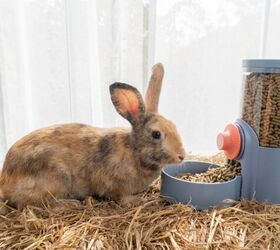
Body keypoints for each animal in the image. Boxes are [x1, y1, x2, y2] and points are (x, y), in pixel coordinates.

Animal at [0, 63, 185, 213]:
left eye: (174, 125)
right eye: (156, 134)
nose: (182, 156)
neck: (134, 150)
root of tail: (5, 183)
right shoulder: (116, 184)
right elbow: (121, 196)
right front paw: (135, 201)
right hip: (57, 178)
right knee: (38, 204)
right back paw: (70, 204)